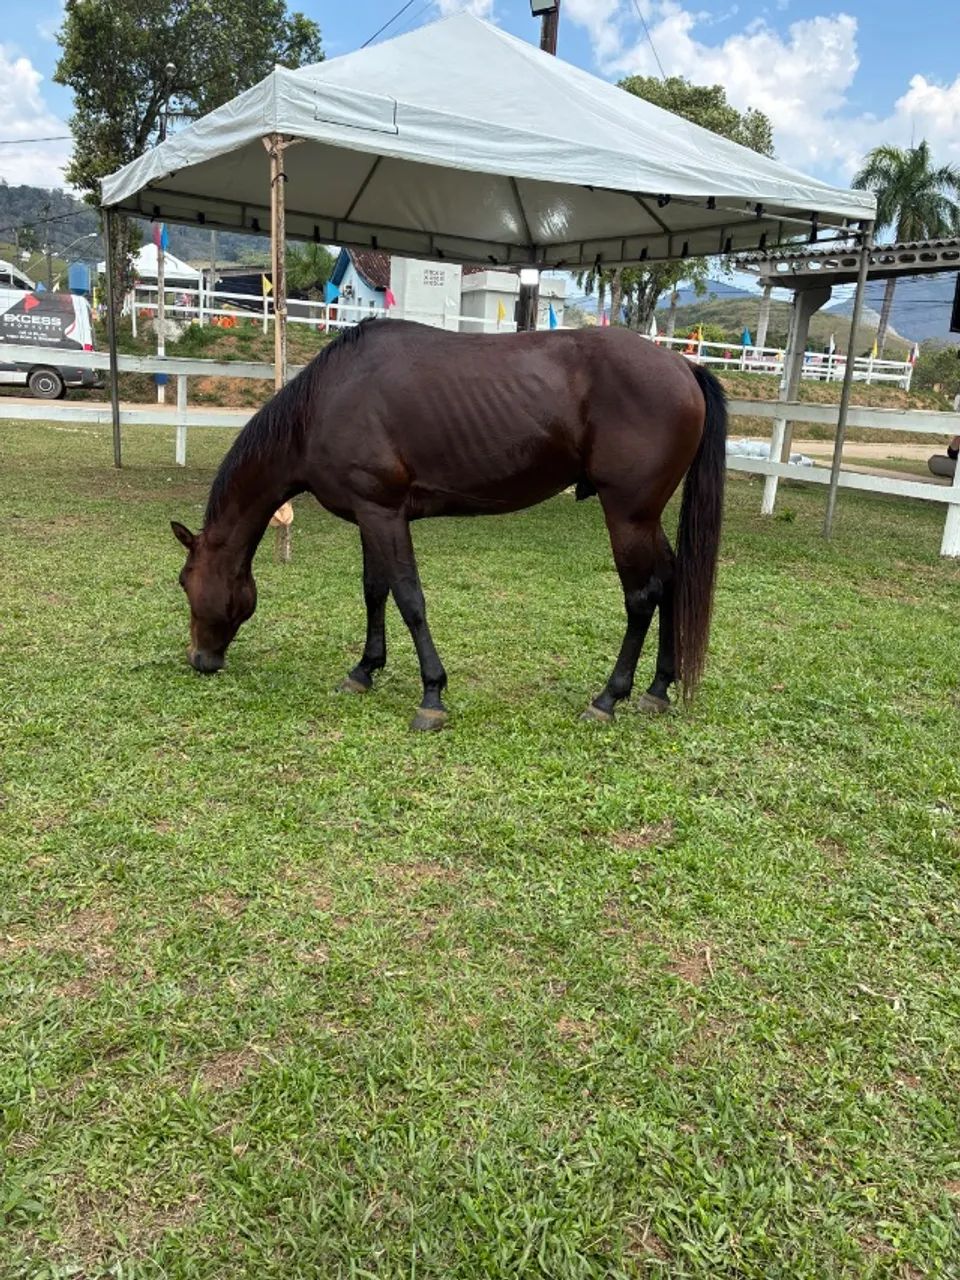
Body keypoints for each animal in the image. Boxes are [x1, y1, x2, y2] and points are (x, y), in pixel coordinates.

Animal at [171, 319, 726, 731]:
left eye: (184, 582)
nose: (200, 659)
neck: (323, 405)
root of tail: (683, 364)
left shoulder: (384, 514)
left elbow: (409, 598)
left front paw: (432, 696)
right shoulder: (370, 515)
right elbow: (374, 590)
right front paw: (364, 671)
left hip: (628, 515)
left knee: (641, 597)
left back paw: (609, 698)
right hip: (645, 518)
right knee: (671, 579)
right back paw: (658, 690)